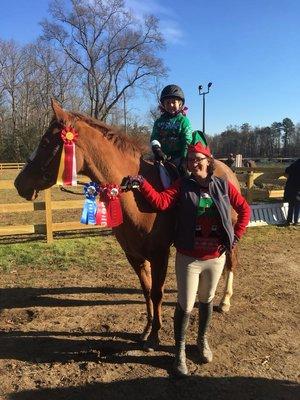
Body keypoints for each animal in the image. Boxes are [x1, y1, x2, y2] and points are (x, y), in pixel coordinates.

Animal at [14, 99, 239, 350]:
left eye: (45, 142)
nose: (19, 183)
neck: (136, 195)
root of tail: (226, 169)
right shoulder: (134, 254)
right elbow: (146, 291)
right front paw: (147, 330)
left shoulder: (159, 254)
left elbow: (157, 293)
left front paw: (155, 336)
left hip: (227, 234)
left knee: (231, 262)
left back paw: (225, 301)